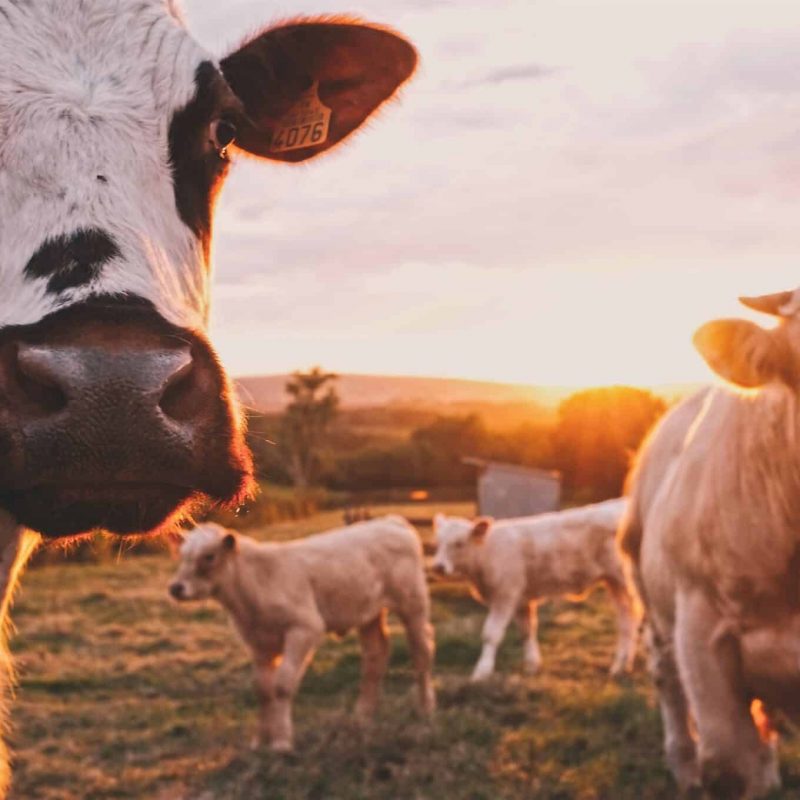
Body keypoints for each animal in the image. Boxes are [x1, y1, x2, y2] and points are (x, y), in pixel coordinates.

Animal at [168, 518, 436, 752]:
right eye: (182, 555)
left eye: (209, 556)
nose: (176, 588)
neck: (255, 585)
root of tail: (391, 521)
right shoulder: (257, 643)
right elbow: (262, 689)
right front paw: (259, 741)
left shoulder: (305, 628)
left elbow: (282, 685)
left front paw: (281, 742)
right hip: (368, 612)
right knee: (375, 656)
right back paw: (363, 715)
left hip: (413, 603)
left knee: (421, 651)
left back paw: (425, 709)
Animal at [432, 499, 638, 681]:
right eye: (438, 542)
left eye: (459, 543)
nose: (438, 567)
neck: (487, 553)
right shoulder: (521, 599)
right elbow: (527, 631)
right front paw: (532, 665)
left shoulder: (505, 595)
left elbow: (491, 634)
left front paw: (482, 671)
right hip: (614, 583)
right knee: (626, 620)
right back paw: (621, 666)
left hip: (625, 580)